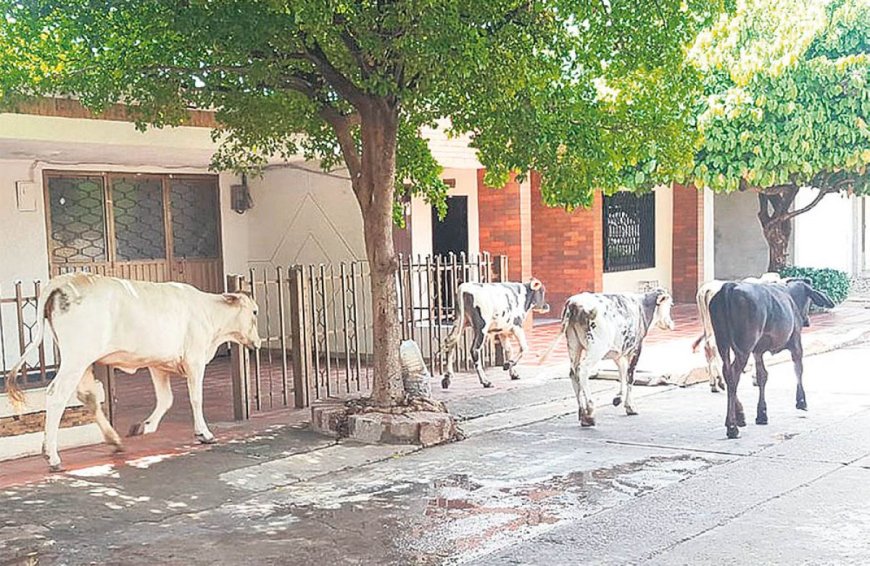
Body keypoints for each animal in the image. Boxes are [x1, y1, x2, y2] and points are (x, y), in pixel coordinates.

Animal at [4, 272, 262, 472]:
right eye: (255, 312)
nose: (258, 343)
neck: (208, 312)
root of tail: (65, 279)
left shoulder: (158, 364)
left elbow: (166, 399)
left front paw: (143, 427)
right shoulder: (195, 359)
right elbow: (196, 398)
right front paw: (204, 434)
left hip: (83, 361)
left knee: (89, 397)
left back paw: (114, 441)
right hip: (75, 359)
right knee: (56, 396)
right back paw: (53, 456)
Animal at [540, 290, 676, 428]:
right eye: (670, 305)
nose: (672, 324)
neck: (643, 306)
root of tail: (574, 303)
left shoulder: (619, 353)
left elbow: (622, 373)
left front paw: (618, 398)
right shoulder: (636, 349)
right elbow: (630, 376)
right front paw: (630, 407)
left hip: (573, 345)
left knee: (573, 373)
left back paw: (583, 415)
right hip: (597, 348)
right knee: (583, 370)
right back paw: (590, 412)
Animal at [716, 282, 836, 442]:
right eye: (809, 300)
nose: (807, 321)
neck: (790, 295)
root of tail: (731, 286)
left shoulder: (758, 351)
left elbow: (762, 376)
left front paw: (762, 414)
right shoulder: (796, 342)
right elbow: (799, 369)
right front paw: (801, 401)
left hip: (722, 343)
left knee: (727, 372)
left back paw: (739, 417)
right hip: (744, 347)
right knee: (734, 376)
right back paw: (732, 427)